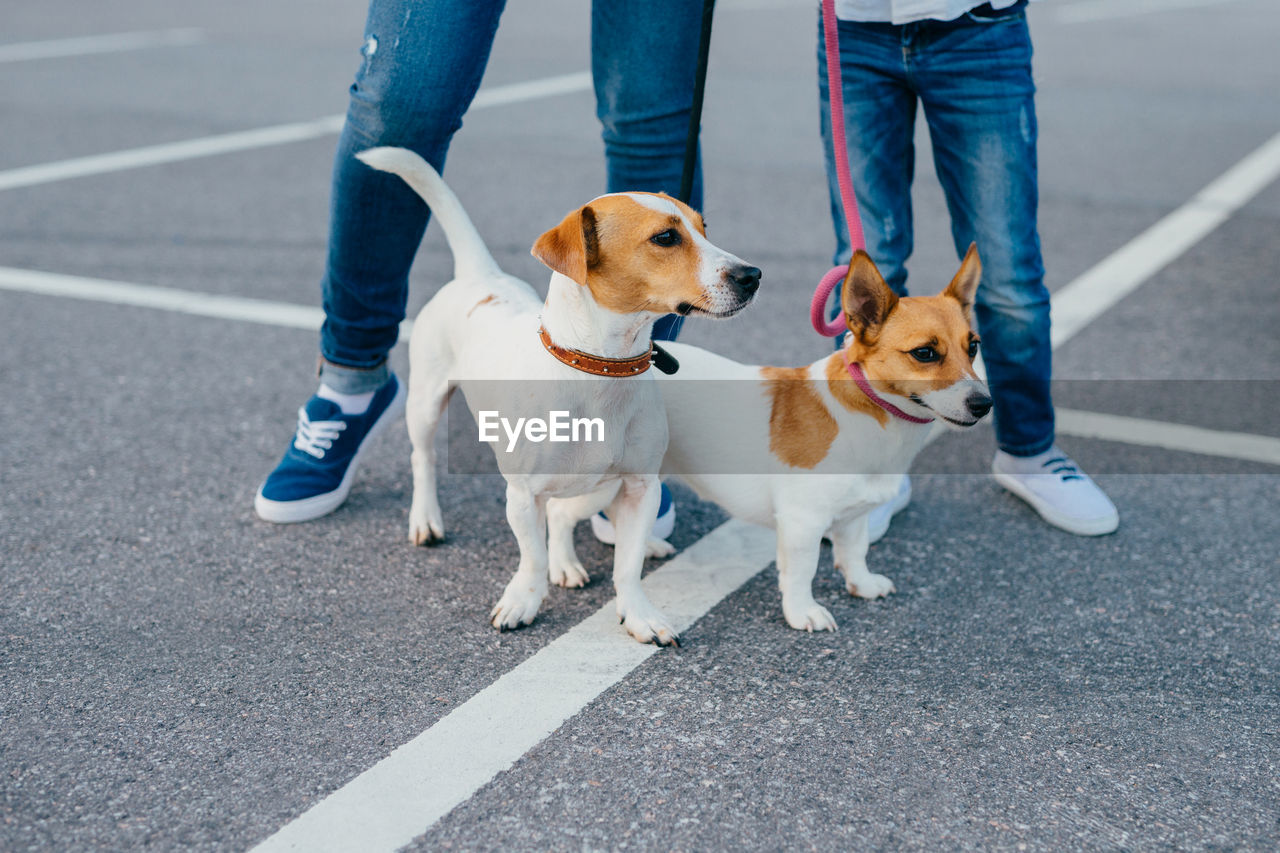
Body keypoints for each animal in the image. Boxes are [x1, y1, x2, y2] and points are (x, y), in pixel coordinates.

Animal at [355, 144, 757, 645]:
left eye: (705, 228)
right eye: (665, 237)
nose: (753, 275)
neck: (600, 368)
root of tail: (480, 274)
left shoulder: (639, 486)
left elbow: (627, 567)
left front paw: (639, 614)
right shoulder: (523, 495)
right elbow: (532, 559)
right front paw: (522, 602)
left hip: (599, 486)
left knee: (566, 517)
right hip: (426, 404)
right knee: (423, 459)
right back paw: (426, 519)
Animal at [550, 242, 988, 627]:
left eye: (974, 347)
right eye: (924, 353)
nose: (984, 404)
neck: (872, 412)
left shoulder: (854, 515)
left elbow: (855, 551)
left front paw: (862, 584)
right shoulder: (802, 522)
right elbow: (802, 572)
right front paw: (802, 613)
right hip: (600, 482)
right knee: (559, 513)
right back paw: (565, 566)